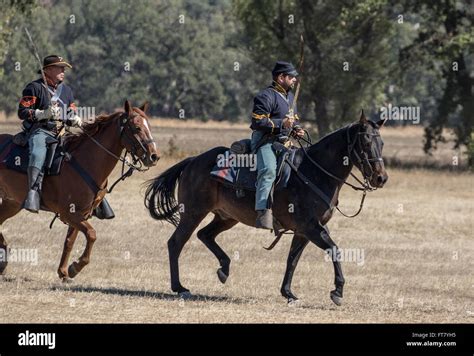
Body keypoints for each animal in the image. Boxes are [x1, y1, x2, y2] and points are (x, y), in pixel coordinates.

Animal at [0, 99, 159, 278]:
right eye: (137, 127)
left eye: (148, 126)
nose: (154, 156)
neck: (87, 161)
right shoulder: (69, 213)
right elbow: (92, 234)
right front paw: (75, 267)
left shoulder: (82, 213)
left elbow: (70, 241)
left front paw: (64, 271)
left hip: (12, 203)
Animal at [145, 112, 388, 306]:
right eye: (366, 142)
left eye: (382, 143)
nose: (381, 178)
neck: (313, 172)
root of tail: (193, 161)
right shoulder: (311, 228)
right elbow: (334, 250)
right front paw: (337, 291)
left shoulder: (304, 231)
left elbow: (292, 260)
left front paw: (288, 292)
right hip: (193, 212)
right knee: (176, 243)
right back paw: (179, 287)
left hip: (227, 217)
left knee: (205, 234)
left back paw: (224, 268)